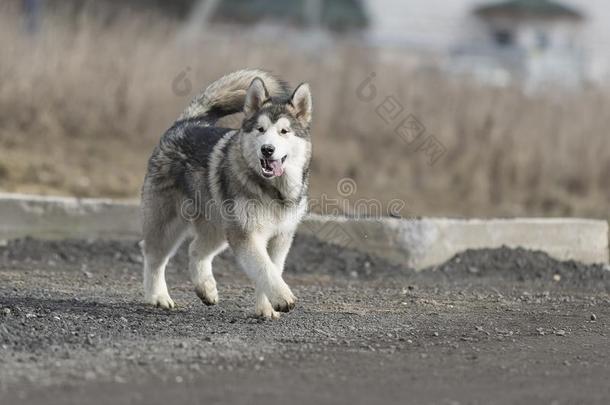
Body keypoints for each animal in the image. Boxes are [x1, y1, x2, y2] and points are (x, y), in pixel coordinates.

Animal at [139, 69, 308, 318]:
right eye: (260, 129)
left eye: (284, 131)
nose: (267, 149)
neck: (273, 190)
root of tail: (187, 122)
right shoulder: (246, 235)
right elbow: (264, 269)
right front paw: (283, 298)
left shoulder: (281, 237)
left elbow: (271, 269)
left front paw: (266, 309)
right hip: (167, 223)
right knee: (154, 257)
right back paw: (158, 296)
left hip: (218, 227)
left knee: (195, 250)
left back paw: (206, 288)